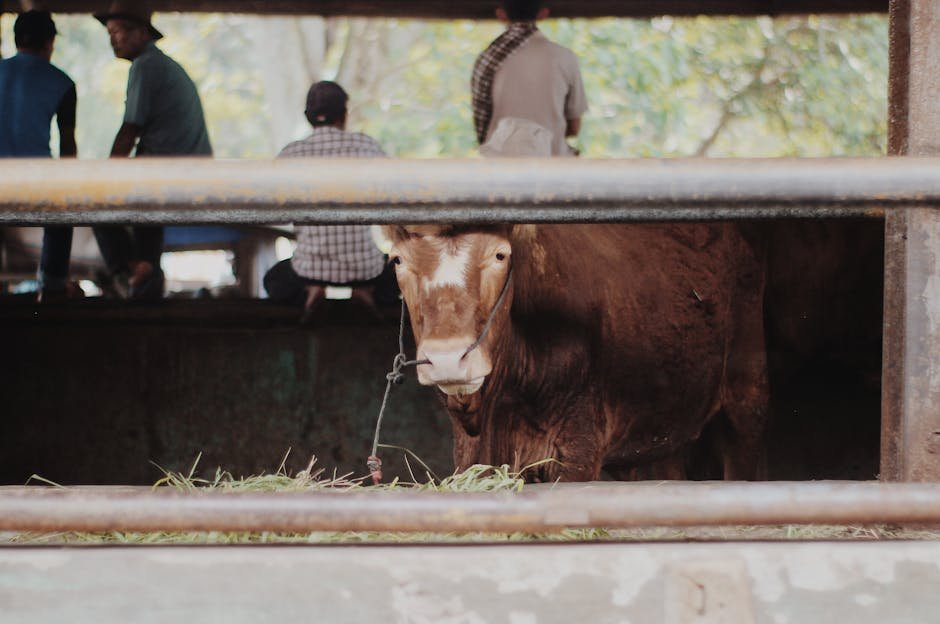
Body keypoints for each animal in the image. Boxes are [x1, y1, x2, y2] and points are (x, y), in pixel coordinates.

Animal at [383, 223, 769, 482]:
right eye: (398, 260)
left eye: (499, 254)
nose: (448, 358)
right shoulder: (471, 453)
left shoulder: (578, 450)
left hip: (747, 391)